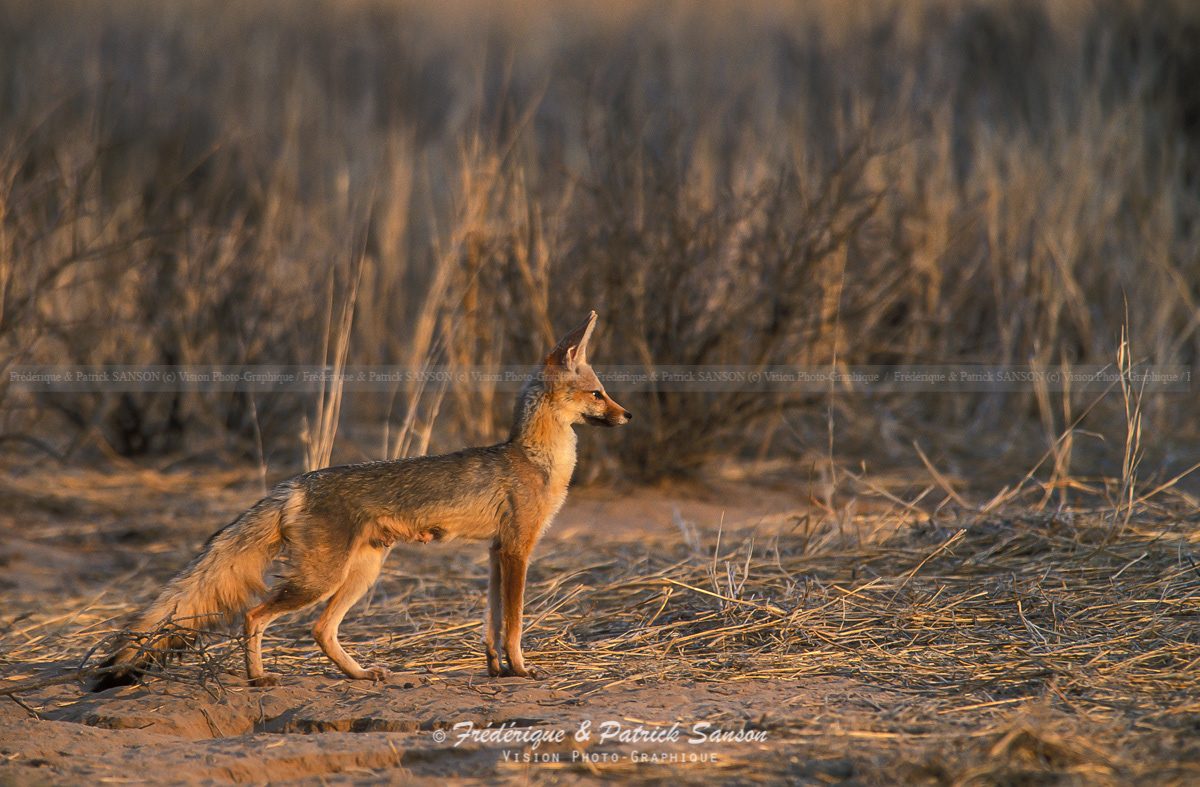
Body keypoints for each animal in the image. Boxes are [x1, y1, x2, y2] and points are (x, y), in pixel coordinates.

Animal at [92, 311, 631, 691]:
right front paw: (520, 670)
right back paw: (258, 678)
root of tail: (296, 482)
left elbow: (493, 623)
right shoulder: (518, 549)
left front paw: (498, 669)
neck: (536, 457)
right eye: (598, 394)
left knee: (320, 630)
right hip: (322, 579)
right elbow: (514, 623)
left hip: (360, 573)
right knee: (255, 616)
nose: (628, 416)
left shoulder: (497, 551)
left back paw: (358, 675)